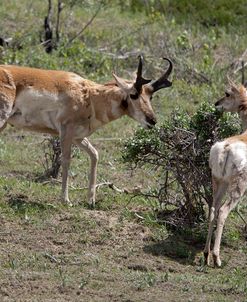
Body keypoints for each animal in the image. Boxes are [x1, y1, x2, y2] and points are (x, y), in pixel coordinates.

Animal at [0, 56, 173, 208]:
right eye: (134, 94)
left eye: (150, 96)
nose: (152, 120)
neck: (89, 96)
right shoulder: (66, 132)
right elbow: (66, 160)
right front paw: (66, 200)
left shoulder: (78, 137)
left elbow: (94, 155)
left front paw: (91, 200)